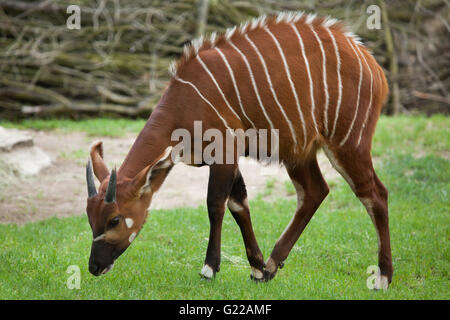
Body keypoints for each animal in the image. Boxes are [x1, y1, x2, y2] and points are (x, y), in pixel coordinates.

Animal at [86, 11, 392, 288]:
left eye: (114, 220)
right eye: (90, 218)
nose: (94, 266)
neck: (185, 102)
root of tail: (374, 66)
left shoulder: (224, 150)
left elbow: (215, 204)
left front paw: (209, 268)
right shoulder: (224, 158)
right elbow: (239, 205)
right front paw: (257, 268)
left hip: (348, 143)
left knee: (374, 193)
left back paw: (383, 277)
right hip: (299, 151)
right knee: (315, 191)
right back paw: (273, 264)